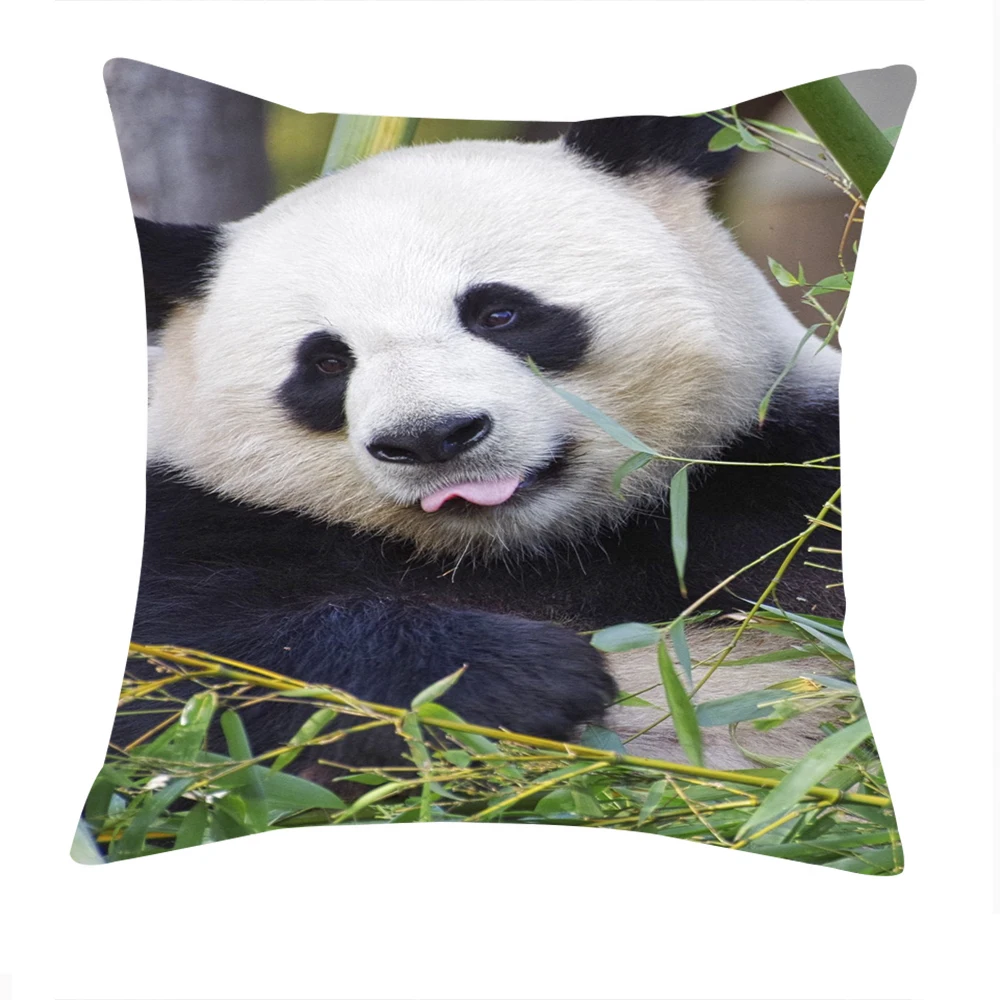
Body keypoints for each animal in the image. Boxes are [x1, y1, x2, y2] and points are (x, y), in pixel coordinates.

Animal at [125, 115, 846, 778]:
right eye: (326, 362)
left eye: (498, 313)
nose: (429, 436)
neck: (524, 552)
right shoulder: (204, 517)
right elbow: (189, 666)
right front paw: (530, 675)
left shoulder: (778, 469)